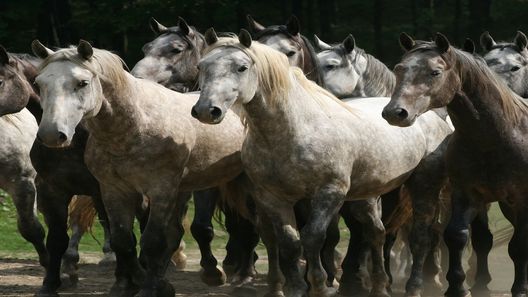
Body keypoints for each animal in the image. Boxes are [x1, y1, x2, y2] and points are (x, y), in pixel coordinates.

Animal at [31, 40, 248, 296]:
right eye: (39, 83)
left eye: (82, 83)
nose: (51, 134)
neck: (135, 125)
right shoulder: (113, 191)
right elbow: (123, 241)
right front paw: (133, 285)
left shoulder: (160, 191)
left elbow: (152, 241)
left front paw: (149, 287)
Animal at [132, 17, 260, 286]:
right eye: (146, 48)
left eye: (175, 49)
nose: (136, 79)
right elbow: (177, 228)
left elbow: (202, 227)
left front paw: (212, 270)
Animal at [192, 28, 452, 296]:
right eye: (201, 66)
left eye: (242, 67)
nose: (207, 110)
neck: (293, 129)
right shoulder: (273, 198)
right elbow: (289, 243)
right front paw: (297, 288)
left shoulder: (328, 193)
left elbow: (314, 238)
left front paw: (319, 285)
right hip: (366, 196)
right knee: (376, 233)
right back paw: (379, 286)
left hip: (423, 187)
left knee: (421, 236)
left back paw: (417, 284)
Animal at [382, 31, 528, 296]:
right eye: (399, 69)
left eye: (435, 72)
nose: (395, 112)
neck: (496, 136)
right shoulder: (467, 194)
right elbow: (457, 236)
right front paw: (458, 286)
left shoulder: (521, 199)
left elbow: (520, 245)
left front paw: (520, 288)